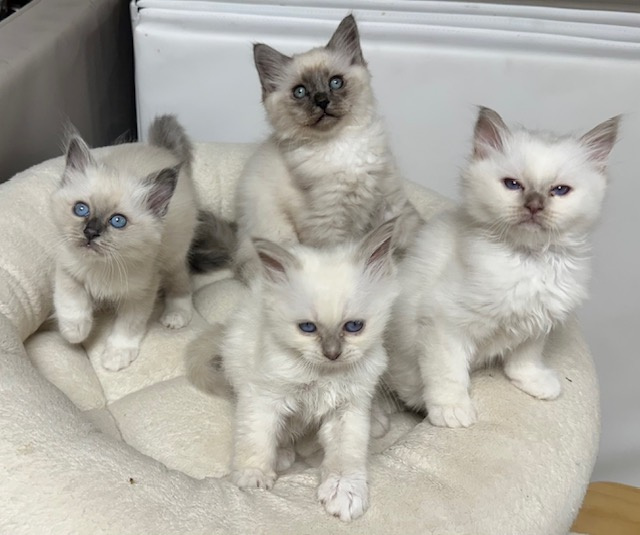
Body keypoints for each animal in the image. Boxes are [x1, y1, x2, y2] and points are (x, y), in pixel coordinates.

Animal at [51, 115, 199, 370]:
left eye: (117, 221)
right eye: (81, 209)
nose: (90, 232)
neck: (101, 266)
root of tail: (160, 150)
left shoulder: (140, 292)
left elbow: (127, 327)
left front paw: (115, 356)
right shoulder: (68, 269)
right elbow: (71, 301)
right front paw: (76, 331)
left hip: (173, 257)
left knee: (181, 284)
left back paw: (176, 316)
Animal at [230, 12, 420, 282]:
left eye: (335, 83)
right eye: (300, 92)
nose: (322, 101)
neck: (341, 146)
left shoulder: (390, 203)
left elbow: (411, 240)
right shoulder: (328, 223)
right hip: (277, 233)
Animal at [384, 107, 620, 430]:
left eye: (559, 190)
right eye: (513, 185)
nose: (534, 206)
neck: (529, 261)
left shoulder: (538, 322)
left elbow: (525, 359)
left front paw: (535, 383)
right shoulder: (444, 325)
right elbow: (448, 374)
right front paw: (452, 412)